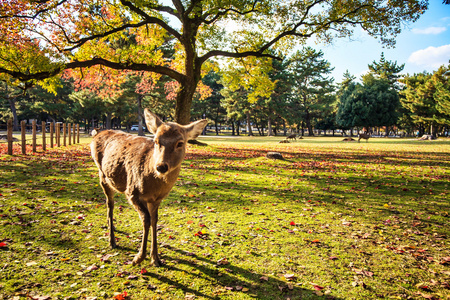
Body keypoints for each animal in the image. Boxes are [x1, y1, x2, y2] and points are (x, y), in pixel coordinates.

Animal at [90, 108, 209, 264]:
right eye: (156, 141)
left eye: (180, 143)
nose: (161, 166)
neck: (153, 186)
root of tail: (96, 133)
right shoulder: (132, 192)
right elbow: (146, 220)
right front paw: (139, 257)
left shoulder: (156, 199)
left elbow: (154, 220)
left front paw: (156, 258)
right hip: (102, 175)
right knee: (110, 204)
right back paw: (112, 240)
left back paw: (113, 226)